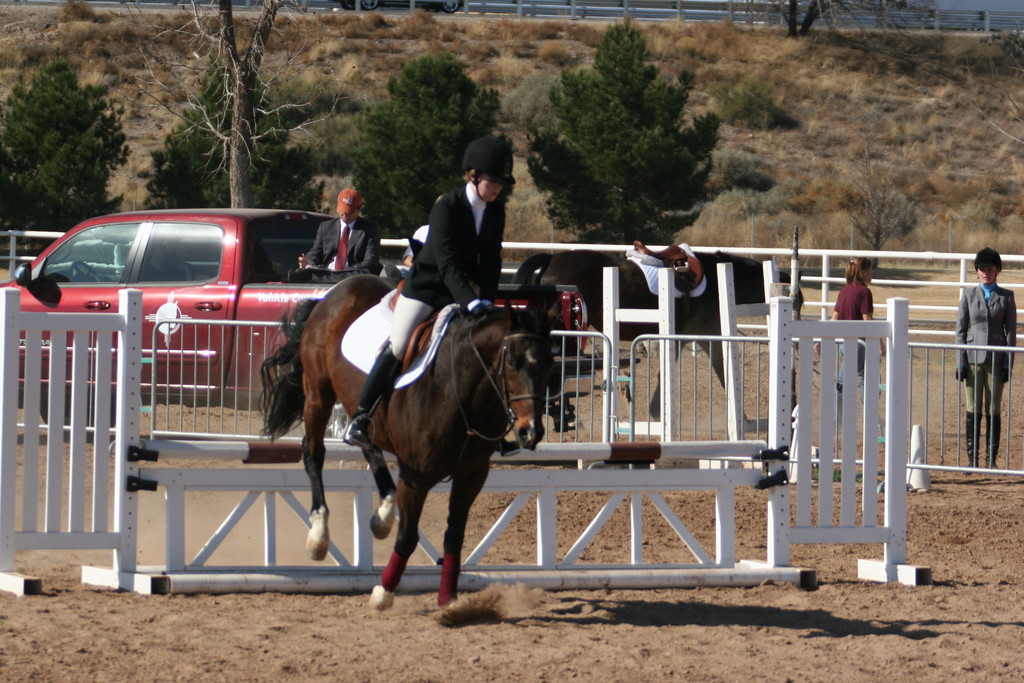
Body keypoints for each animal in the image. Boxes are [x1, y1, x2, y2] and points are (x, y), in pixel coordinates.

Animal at [260, 274, 557, 610]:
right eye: (513, 363)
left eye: (550, 363)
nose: (531, 432)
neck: (461, 391)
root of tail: (340, 287)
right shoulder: (417, 476)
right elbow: (408, 536)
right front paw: (383, 593)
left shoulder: (472, 475)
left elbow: (454, 535)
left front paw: (448, 599)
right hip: (318, 394)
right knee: (313, 452)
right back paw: (319, 536)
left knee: (367, 441)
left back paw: (383, 515)